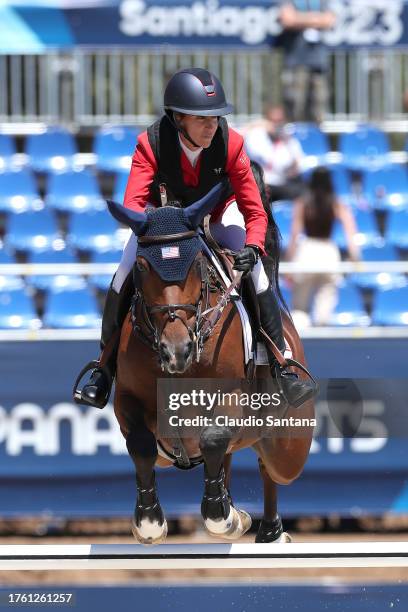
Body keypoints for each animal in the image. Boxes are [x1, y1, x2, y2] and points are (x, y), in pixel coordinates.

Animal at [106, 179, 316, 544]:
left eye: (196, 265)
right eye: (142, 267)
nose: (176, 351)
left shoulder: (231, 396)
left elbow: (214, 438)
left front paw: (225, 518)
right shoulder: (127, 399)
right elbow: (142, 444)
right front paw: (149, 522)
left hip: (289, 450)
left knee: (269, 467)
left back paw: (271, 532)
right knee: (229, 458)